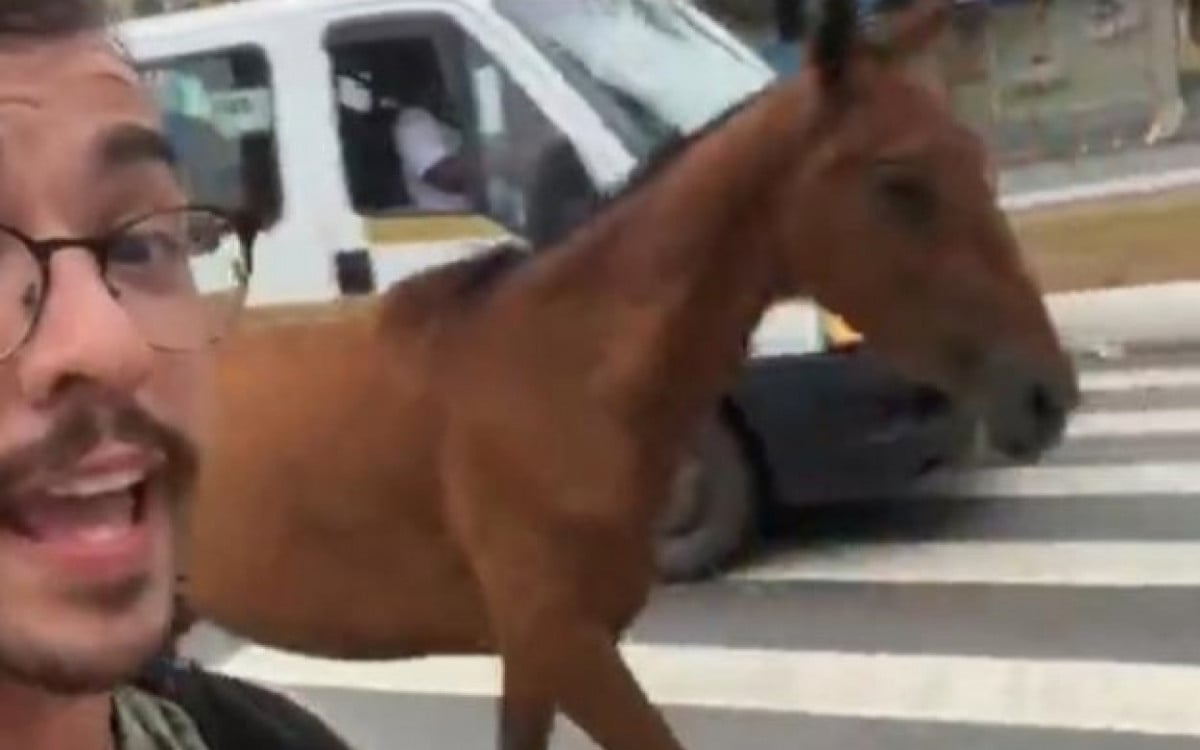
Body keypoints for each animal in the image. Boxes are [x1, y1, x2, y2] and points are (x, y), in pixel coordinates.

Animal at [177, 2, 1080, 744]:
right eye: (901, 185)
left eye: (976, 161)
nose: (1047, 396)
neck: (560, 381)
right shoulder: (567, 645)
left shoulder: (539, 656)